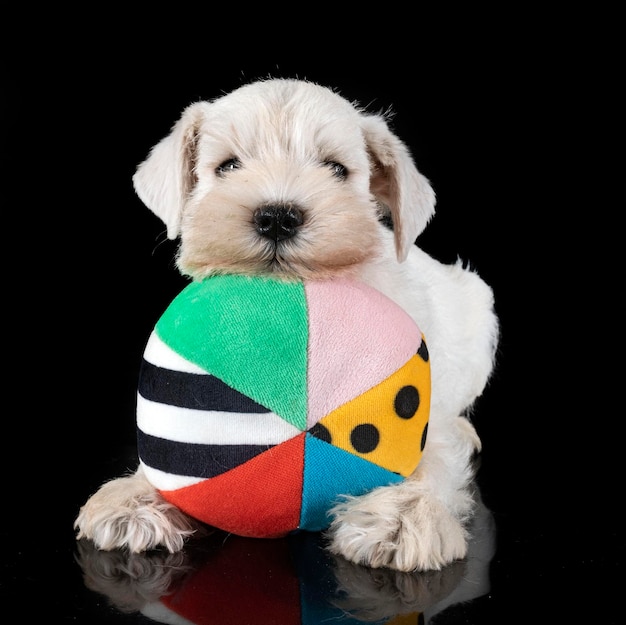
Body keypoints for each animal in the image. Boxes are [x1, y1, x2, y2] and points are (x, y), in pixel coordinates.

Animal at [73, 78, 498, 572]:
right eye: (227, 166)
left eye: (336, 169)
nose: (277, 216)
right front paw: (136, 496)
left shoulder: (429, 416)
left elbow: (433, 458)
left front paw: (403, 515)